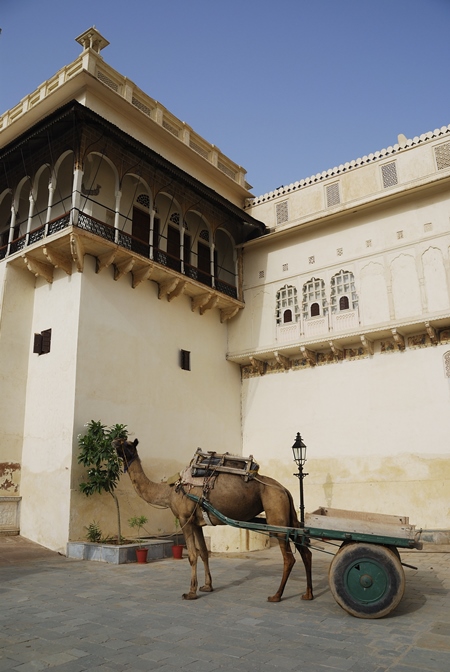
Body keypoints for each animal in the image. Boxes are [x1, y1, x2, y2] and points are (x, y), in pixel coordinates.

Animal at [113, 438, 312, 600]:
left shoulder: (184, 519)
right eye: (120, 440)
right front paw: (207, 586)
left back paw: (277, 595)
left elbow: (192, 555)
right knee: (305, 550)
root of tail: (284, 490)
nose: (114, 442)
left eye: (128, 444)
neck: (169, 491)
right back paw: (308, 594)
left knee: (289, 558)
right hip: (288, 515)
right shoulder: (197, 523)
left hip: (276, 514)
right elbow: (204, 553)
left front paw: (190, 592)